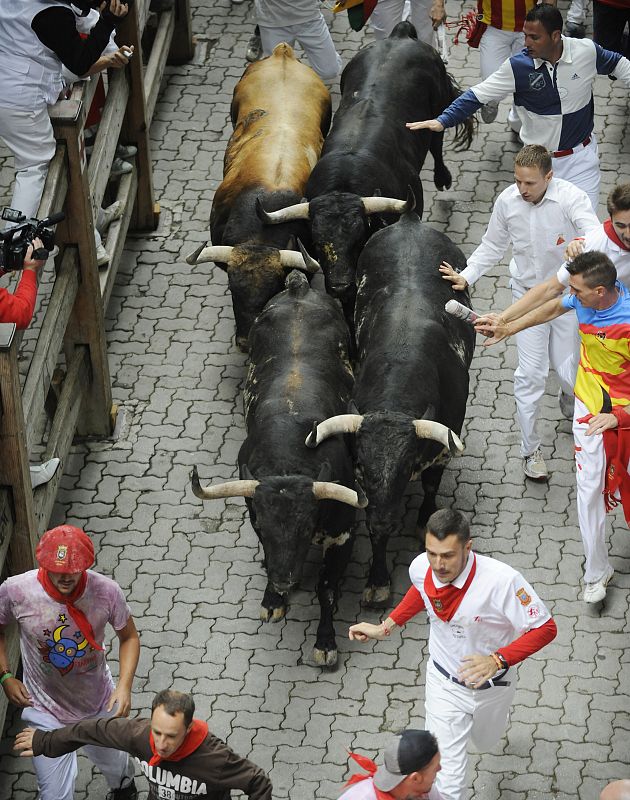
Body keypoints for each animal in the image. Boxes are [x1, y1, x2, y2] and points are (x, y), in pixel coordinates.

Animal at [191, 272, 366, 664]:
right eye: (261, 527)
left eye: (305, 527)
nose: (285, 579)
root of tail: (298, 287)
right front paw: (273, 598)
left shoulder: (343, 534)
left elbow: (326, 589)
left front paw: (325, 642)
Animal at [308, 212, 476, 608]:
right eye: (362, 469)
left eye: (403, 469)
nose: (385, 520)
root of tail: (410, 221)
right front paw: (378, 580)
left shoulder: (441, 447)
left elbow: (431, 484)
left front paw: (425, 519)